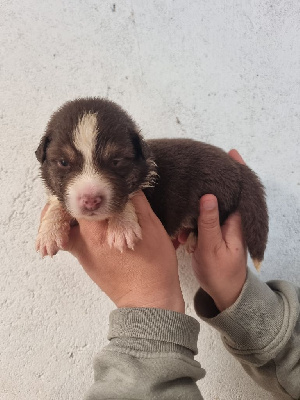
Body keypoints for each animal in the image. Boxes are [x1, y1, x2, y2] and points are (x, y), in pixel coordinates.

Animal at [36, 98, 268, 270]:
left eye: (116, 161)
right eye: (63, 162)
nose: (90, 200)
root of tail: (236, 166)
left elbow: (128, 197)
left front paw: (122, 227)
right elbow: (57, 202)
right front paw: (49, 232)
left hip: (216, 198)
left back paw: (193, 238)